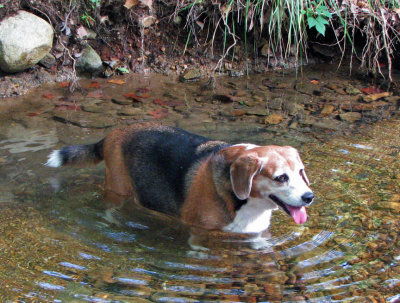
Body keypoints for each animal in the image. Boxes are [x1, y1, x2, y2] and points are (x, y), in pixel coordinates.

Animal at [47, 123, 314, 235]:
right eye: (281, 177)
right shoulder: (199, 230)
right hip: (118, 188)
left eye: (301, 172)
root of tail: (115, 133)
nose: (309, 197)